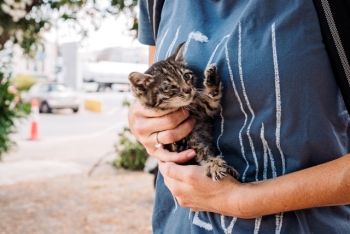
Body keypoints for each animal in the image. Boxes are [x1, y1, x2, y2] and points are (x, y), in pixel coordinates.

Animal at [129, 42, 238, 181]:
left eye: (186, 76)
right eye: (170, 87)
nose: (188, 90)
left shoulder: (204, 108)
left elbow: (212, 97)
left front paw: (212, 79)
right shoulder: (189, 140)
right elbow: (201, 150)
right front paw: (212, 164)